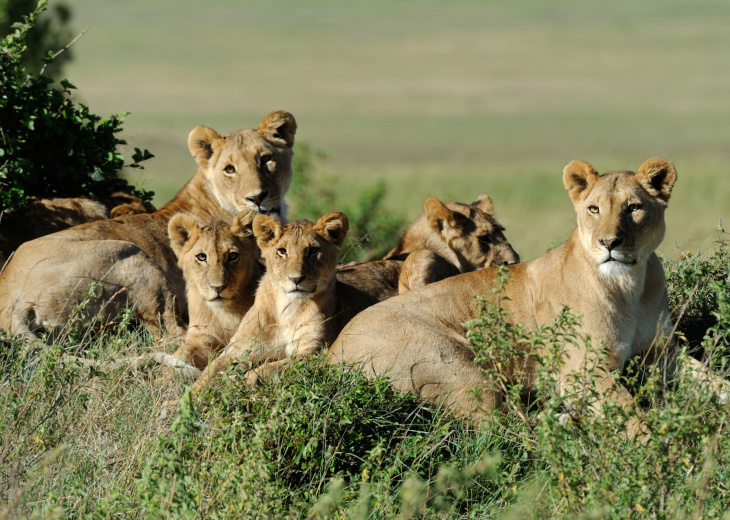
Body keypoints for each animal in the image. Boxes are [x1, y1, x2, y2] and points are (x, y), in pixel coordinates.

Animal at [0, 109, 298, 340]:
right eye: (229, 169)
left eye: (266, 159)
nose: (256, 198)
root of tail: (10, 303)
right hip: (134, 257)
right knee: (172, 333)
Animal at [166, 209, 264, 372]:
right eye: (201, 257)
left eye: (232, 256)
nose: (218, 287)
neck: (223, 313)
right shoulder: (202, 336)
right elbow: (177, 357)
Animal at [191, 209, 350, 392]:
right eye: (282, 251)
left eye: (313, 250)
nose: (296, 279)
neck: (288, 308)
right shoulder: (238, 348)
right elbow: (210, 371)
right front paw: (188, 397)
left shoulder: (313, 352)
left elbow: (268, 369)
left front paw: (239, 383)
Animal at [328, 156, 680, 436]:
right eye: (594, 209)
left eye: (633, 208)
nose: (609, 242)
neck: (629, 286)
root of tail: (331, 356)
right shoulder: (582, 371)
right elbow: (633, 417)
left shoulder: (663, 353)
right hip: (461, 367)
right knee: (500, 429)